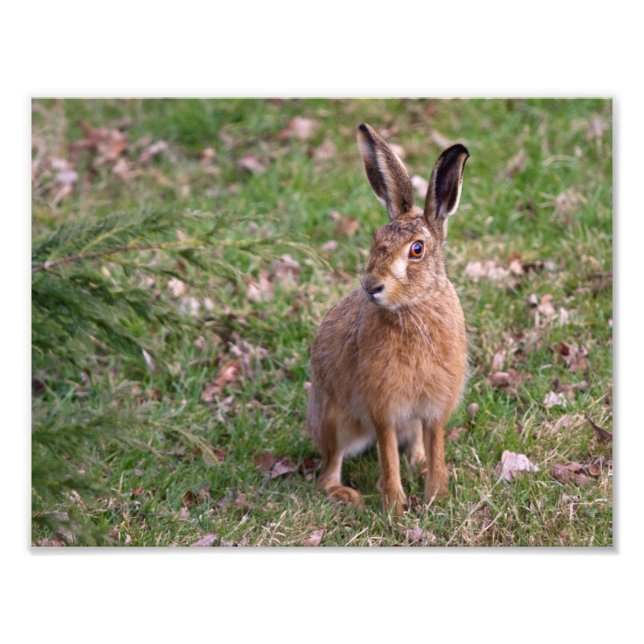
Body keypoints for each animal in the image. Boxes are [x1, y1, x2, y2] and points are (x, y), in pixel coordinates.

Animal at [306, 123, 470, 516]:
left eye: (417, 250)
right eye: (375, 238)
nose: (371, 286)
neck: (414, 307)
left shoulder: (434, 409)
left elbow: (435, 444)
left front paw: (436, 497)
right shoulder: (383, 408)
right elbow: (387, 455)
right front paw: (395, 506)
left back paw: (419, 463)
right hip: (337, 422)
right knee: (328, 470)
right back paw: (346, 494)